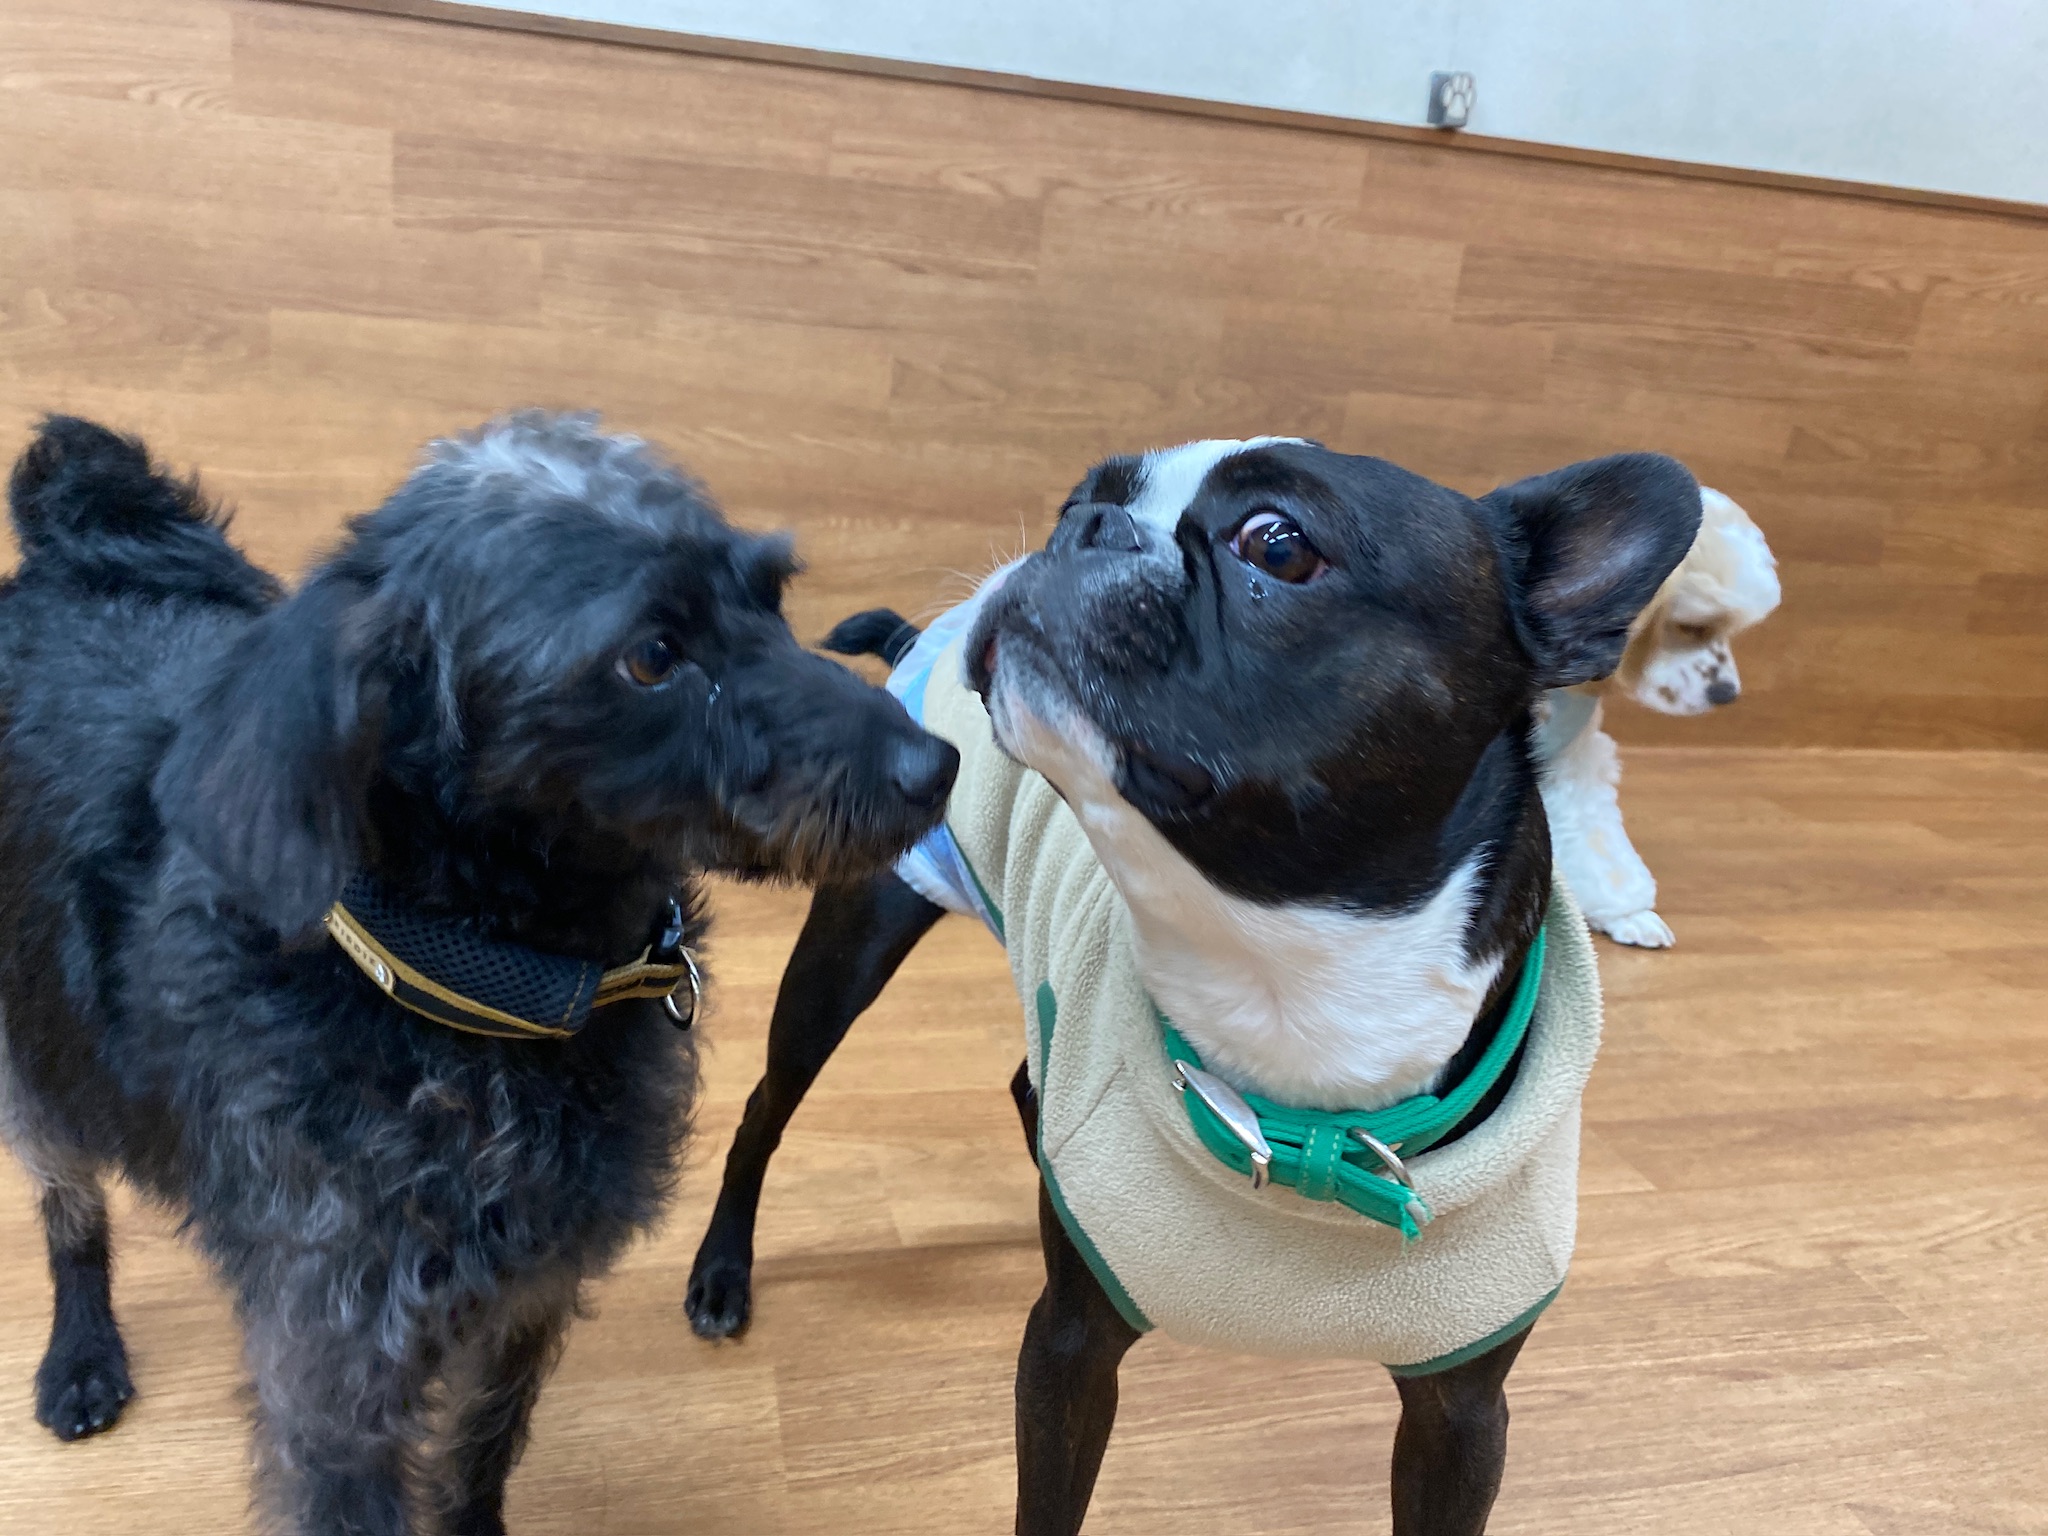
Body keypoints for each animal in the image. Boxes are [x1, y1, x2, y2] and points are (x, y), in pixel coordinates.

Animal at [0, 413, 956, 1535]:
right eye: (652, 656)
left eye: (769, 596)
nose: (939, 764)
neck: (479, 998)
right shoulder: (338, 1382)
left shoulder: (525, 1297)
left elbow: (480, 1451)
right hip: (38, 1063)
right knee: (68, 1206)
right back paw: (81, 1353)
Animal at [685, 438, 1700, 1534]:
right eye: (1078, 502)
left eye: (1278, 544)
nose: (1083, 529)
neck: (1286, 978)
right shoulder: (1066, 1355)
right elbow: (1048, 1503)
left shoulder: (1463, 1416)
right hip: (854, 940)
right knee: (766, 1105)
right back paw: (721, 1273)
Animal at [1536, 487, 1781, 946]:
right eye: (1693, 625)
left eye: (1731, 631)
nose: (1727, 694)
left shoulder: (1568, 764)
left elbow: (1597, 842)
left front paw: (1627, 914)